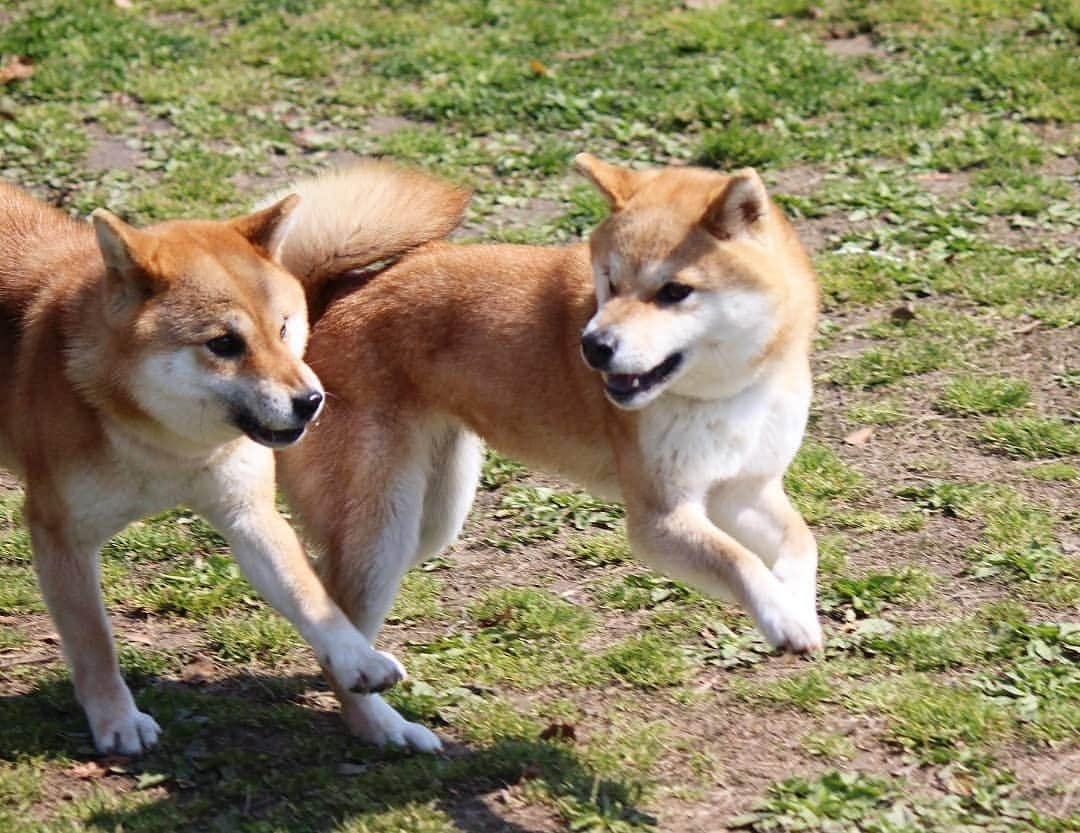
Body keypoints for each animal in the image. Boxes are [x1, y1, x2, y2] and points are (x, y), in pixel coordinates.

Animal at [0, 185, 408, 760]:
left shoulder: (249, 514)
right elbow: (93, 641)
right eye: (224, 344)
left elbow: (312, 598)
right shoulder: (59, 533)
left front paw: (360, 664)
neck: (166, 449)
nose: (310, 401)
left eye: (284, 328)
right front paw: (117, 719)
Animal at [267, 157, 816, 756]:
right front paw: (782, 619)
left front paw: (796, 605)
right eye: (610, 280)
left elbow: (800, 543)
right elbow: (738, 559)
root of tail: (322, 303)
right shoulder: (661, 518)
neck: (726, 391)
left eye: (675, 291)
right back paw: (386, 727)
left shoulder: (743, 490)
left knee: (327, 587)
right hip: (386, 522)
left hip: (430, 518)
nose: (593, 346)